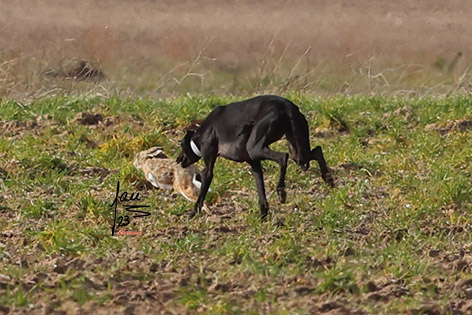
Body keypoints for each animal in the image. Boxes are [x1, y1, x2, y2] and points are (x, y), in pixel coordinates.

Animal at [177, 95, 336, 220]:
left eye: (181, 145)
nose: (178, 160)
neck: (201, 135)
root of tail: (288, 107)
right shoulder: (254, 164)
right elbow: (261, 191)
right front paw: (263, 215)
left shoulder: (208, 168)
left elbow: (201, 194)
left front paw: (192, 214)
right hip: (297, 151)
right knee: (316, 151)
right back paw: (328, 178)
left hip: (256, 147)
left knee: (283, 157)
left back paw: (281, 191)